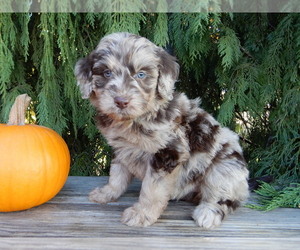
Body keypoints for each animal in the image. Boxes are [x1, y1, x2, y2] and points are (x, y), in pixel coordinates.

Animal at [74, 32, 248, 229]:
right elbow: (117, 174)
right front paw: (107, 193)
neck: (135, 119)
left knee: (226, 197)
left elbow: (152, 189)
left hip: (225, 168)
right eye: (107, 73)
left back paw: (208, 213)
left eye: (141, 74)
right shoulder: (121, 148)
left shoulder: (168, 152)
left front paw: (141, 214)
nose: (121, 101)